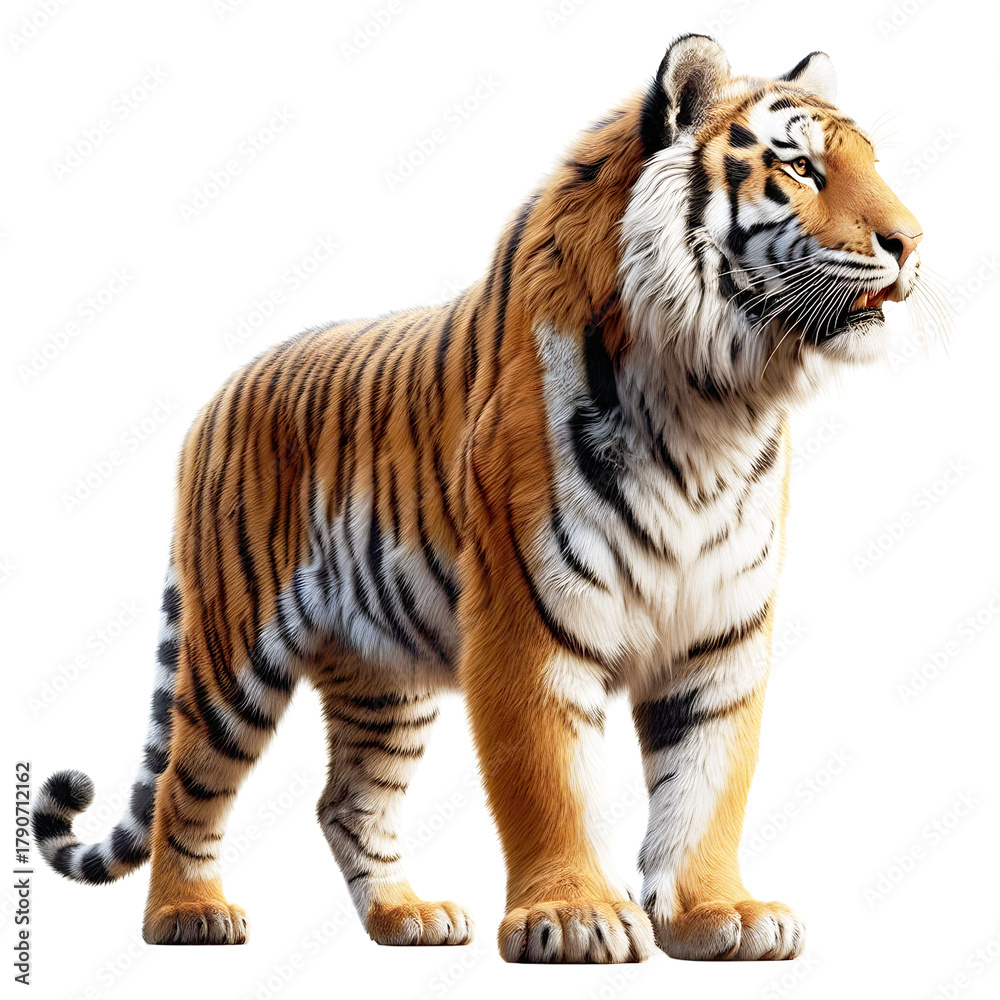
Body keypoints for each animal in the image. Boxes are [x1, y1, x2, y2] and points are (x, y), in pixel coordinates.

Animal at [34, 34, 928, 963]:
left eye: (870, 164)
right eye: (800, 168)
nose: (912, 242)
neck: (713, 405)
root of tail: (215, 399)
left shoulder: (720, 632)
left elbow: (711, 780)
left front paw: (720, 913)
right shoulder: (528, 621)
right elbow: (549, 778)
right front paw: (574, 917)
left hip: (383, 677)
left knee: (347, 800)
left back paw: (407, 917)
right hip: (232, 650)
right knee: (187, 780)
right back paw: (188, 915)